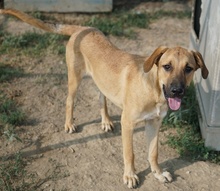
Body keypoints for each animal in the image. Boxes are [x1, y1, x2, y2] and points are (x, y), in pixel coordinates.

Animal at [0, 8, 209, 188]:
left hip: (101, 81)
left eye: (188, 68)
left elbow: (153, 153)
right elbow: (130, 154)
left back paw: (106, 121)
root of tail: (82, 28)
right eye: (167, 66)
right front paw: (130, 176)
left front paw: (157, 173)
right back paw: (69, 124)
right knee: (69, 100)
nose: (177, 91)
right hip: (74, 78)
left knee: (102, 99)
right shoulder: (128, 123)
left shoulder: (154, 123)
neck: (154, 90)